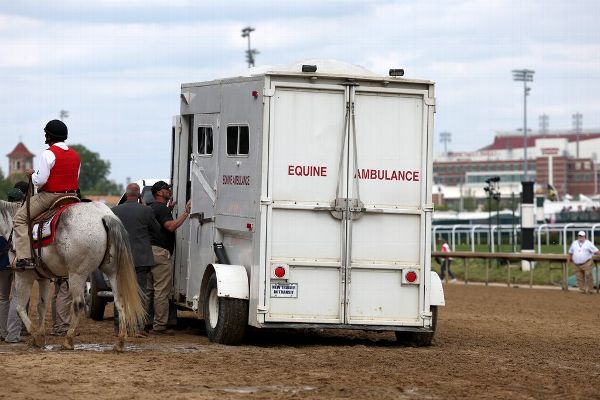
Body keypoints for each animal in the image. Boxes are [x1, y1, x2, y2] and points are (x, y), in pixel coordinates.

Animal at [0, 200, 145, 350]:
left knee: (78, 303)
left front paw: (35, 335)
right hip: (113, 272)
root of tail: (104, 215)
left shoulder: (23, 276)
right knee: (119, 300)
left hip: (77, 274)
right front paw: (40, 335)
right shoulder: (43, 278)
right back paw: (120, 341)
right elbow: (42, 306)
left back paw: (68, 340)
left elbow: (20, 308)